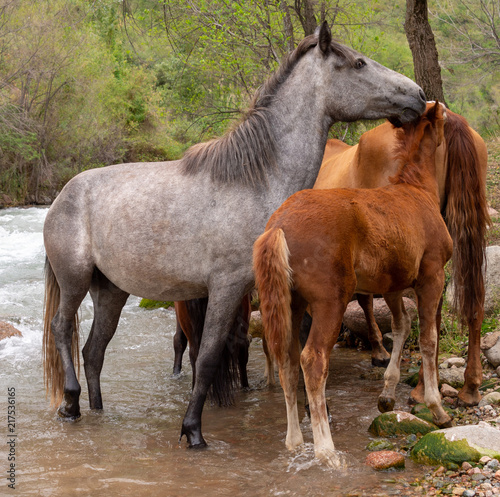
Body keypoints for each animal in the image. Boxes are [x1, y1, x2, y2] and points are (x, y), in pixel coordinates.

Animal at [44, 24, 426, 446]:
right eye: (359, 63)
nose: (418, 96)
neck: (254, 183)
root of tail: (63, 195)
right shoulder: (225, 287)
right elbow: (209, 355)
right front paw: (193, 431)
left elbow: (287, 349)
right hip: (75, 280)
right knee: (62, 329)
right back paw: (71, 404)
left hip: (111, 291)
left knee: (94, 351)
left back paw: (97, 411)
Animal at [254, 101, 454, 464]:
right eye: (443, 116)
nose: (449, 114)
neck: (416, 190)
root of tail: (279, 224)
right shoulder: (432, 276)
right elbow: (428, 338)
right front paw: (437, 409)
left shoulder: (392, 286)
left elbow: (401, 328)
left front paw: (387, 394)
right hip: (329, 303)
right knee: (312, 361)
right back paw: (326, 451)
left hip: (292, 304)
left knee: (288, 362)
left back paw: (294, 442)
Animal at [312, 101, 488, 406]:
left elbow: (366, 300)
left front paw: (378, 350)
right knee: (468, 301)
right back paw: (468, 386)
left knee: (429, 317)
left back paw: (423, 387)